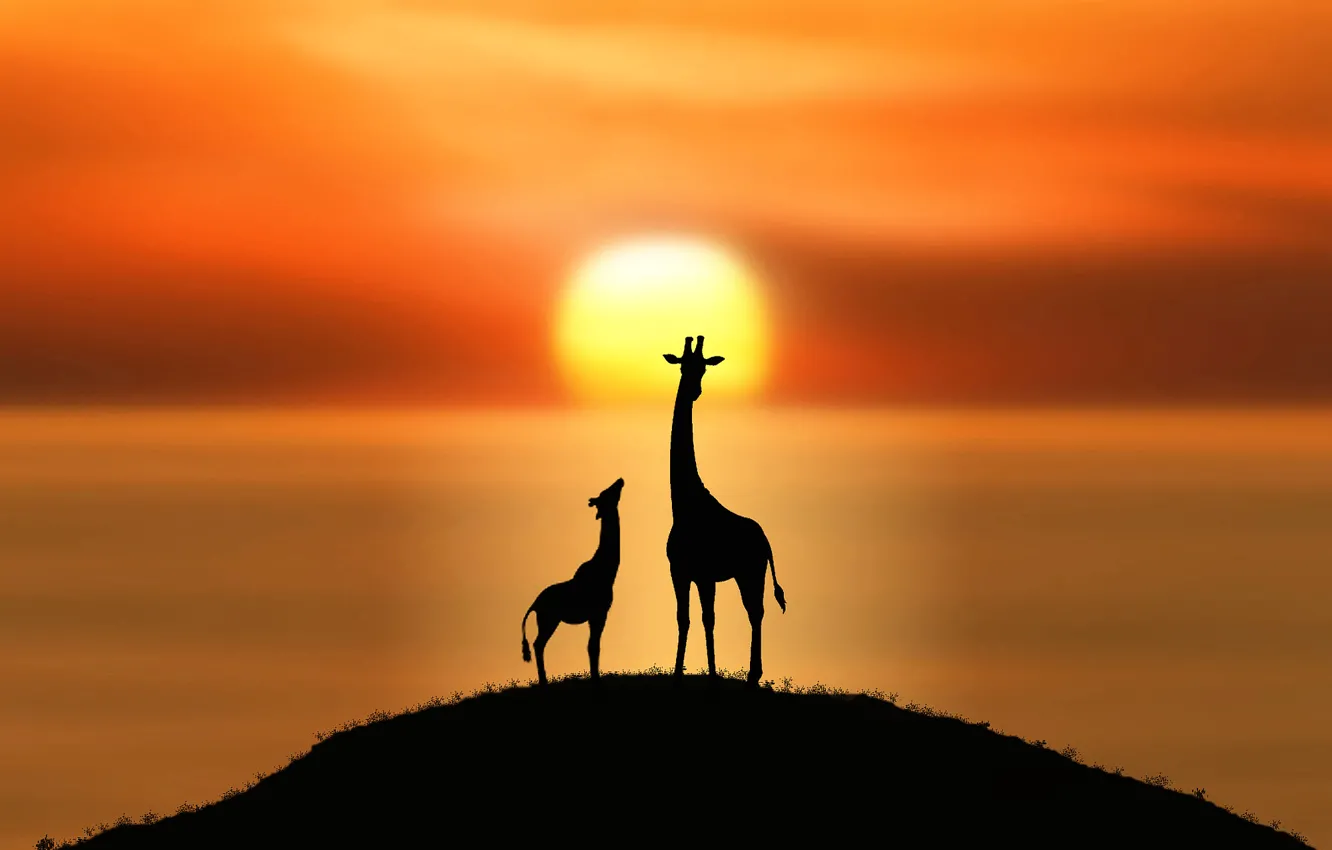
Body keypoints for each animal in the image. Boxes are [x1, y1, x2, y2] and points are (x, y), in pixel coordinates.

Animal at [521, 477, 625, 685]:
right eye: (606, 492)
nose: (620, 480)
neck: (607, 571)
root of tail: (535, 604)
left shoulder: (596, 614)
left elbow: (592, 646)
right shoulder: (599, 612)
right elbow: (593, 646)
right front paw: (595, 678)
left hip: (548, 619)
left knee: (538, 644)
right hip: (549, 619)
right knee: (538, 644)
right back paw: (543, 681)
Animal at [663, 335, 785, 685]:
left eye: (704, 367)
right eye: (683, 366)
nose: (693, 390)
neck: (684, 505)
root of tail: (766, 540)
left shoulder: (704, 575)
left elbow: (707, 618)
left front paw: (713, 674)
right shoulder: (680, 571)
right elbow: (685, 617)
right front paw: (678, 673)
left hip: (752, 571)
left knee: (756, 611)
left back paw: (754, 674)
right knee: (754, 611)